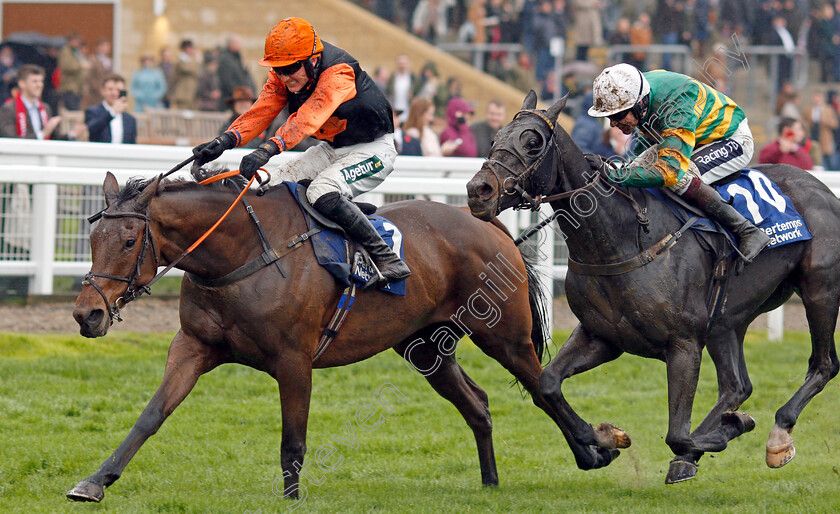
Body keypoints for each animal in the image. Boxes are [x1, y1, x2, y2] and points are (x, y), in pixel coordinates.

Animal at [67, 170, 552, 498]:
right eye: (93, 239)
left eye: (129, 241)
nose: (87, 314)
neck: (243, 253)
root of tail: (484, 221)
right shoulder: (194, 346)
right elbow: (151, 415)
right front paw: (95, 481)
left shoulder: (294, 360)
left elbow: (292, 440)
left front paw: (291, 499)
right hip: (427, 349)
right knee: (478, 405)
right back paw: (490, 483)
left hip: (504, 336)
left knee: (542, 388)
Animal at [466, 91, 840, 480]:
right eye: (493, 140)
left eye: (533, 143)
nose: (479, 190)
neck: (621, 239)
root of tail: (822, 188)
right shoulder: (602, 337)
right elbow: (549, 383)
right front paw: (606, 437)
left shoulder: (684, 344)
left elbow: (677, 434)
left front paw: (729, 429)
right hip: (727, 321)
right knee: (737, 385)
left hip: (820, 289)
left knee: (823, 364)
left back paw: (777, 435)